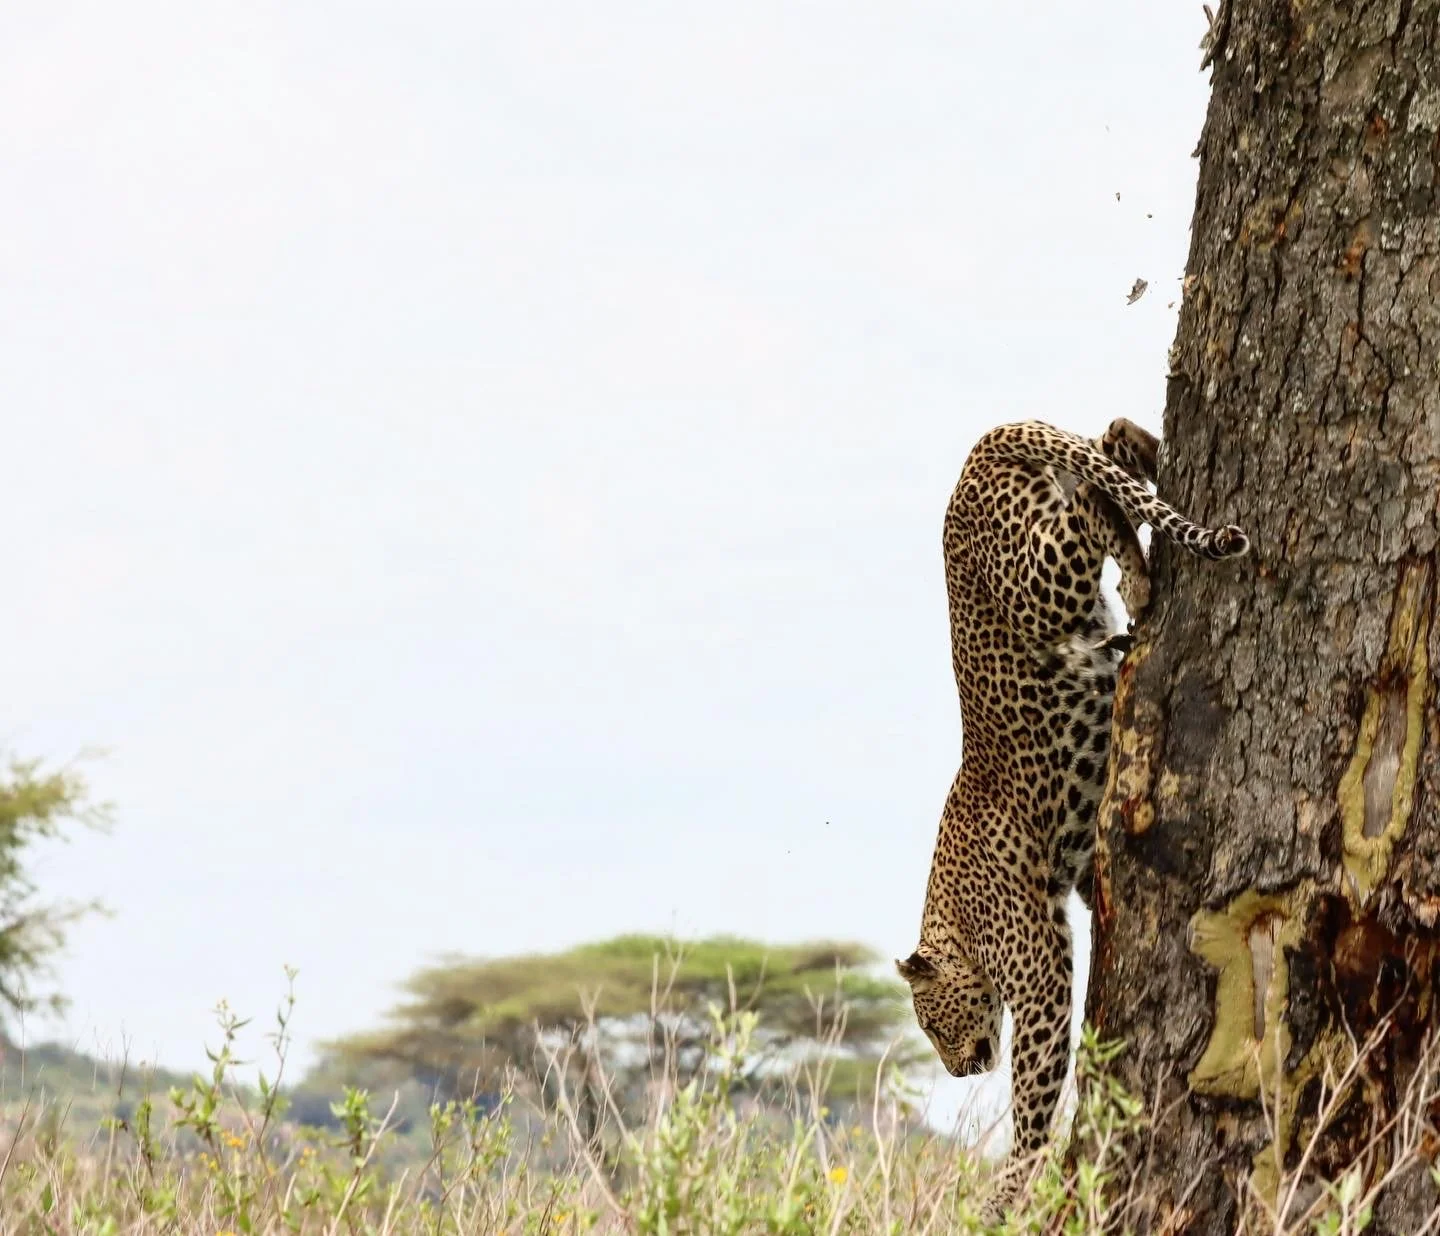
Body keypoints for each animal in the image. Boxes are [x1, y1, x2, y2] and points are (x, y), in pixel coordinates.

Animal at [895, 418, 1249, 1213]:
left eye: (930, 1022)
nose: (957, 1071)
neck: (949, 914)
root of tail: (982, 446)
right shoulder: (1086, 874)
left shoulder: (1038, 969)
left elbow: (1033, 1091)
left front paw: (1008, 1194)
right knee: (1106, 444)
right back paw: (1138, 507)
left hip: (1035, 579)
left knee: (1087, 504)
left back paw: (1130, 564)